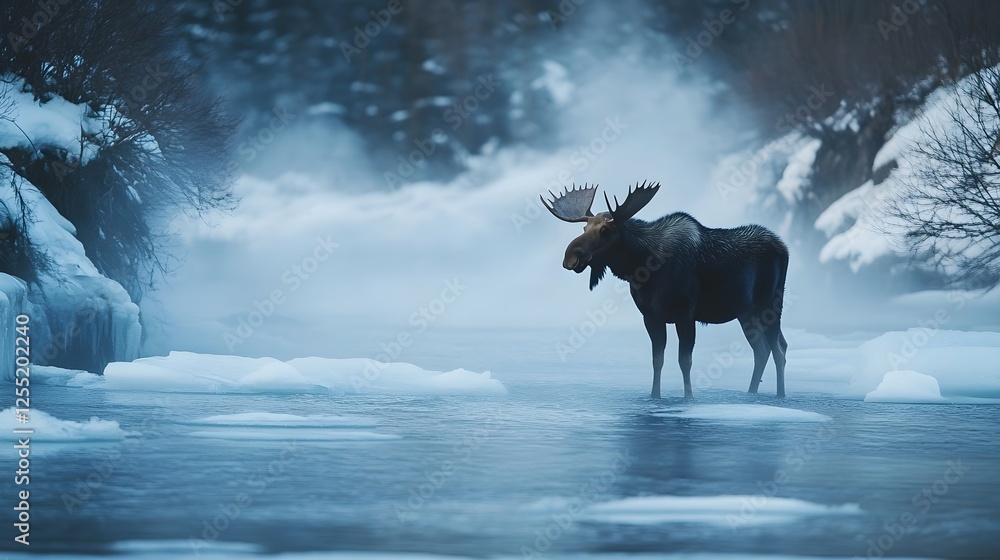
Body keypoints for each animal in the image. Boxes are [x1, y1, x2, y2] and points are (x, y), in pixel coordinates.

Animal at [542, 181, 789, 399]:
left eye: (604, 230)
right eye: (584, 227)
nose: (570, 257)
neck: (643, 268)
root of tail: (784, 246)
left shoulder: (685, 314)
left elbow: (684, 361)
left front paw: (689, 398)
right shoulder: (651, 316)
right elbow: (657, 360)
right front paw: (655, 396)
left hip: (771, 304)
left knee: (779, 348)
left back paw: (780, 395)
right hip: (746, 312)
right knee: (762, 349)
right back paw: (752, 393)